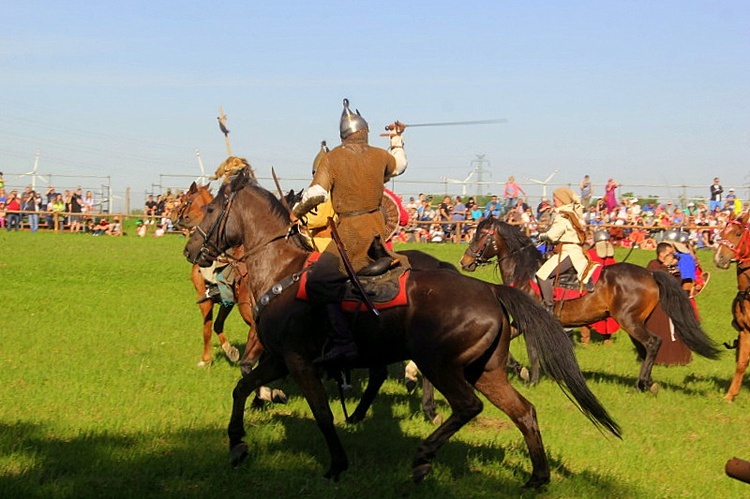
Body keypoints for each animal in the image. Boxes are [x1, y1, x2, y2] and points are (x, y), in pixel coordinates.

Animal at [184, 171, 624, 488]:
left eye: (210, 211)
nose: (191, 250)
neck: (282, 272)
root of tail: (490, 291)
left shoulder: (298, 362)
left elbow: (321, 414)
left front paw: (336, 464)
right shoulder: (279, 359)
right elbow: (241, 386)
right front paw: (237, 443)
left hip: (442, 364)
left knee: (467, 406)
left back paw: (424, 455)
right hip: (486, 371)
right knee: (524, 412)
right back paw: (537, 476)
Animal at [458, 217, 724, 392]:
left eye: (481, 236)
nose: (465, 261)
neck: (525, 271)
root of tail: (650, 274)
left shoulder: (530, 319)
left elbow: (531, 350)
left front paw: (531, 377)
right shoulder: (524, 321)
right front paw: (517, 368)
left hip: (628, 320)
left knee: (652, 343)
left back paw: (641, 384)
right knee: (648, 346)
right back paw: (648, 382)